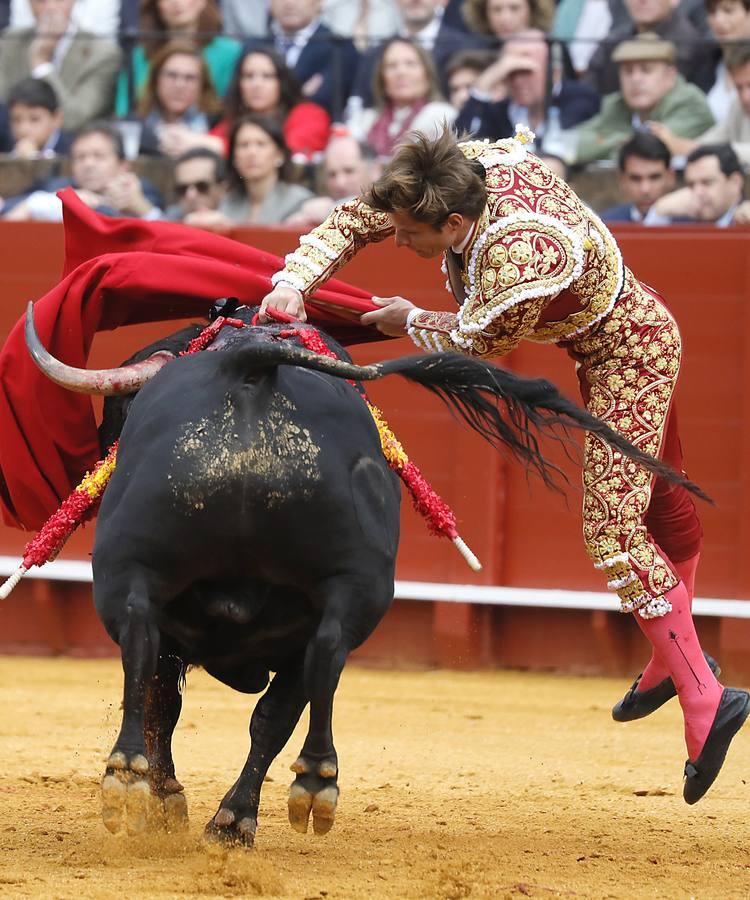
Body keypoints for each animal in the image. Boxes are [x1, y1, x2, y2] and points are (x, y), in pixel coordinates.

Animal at [23, 304, 708, 844]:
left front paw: (171, 801)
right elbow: (212, 703)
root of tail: (249, 363)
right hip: (341, 587)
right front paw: (189, 806)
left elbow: (185, 700)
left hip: (145, 574)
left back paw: (162, 789)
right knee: (309, 659)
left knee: (178, 660)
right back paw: (297, 786)